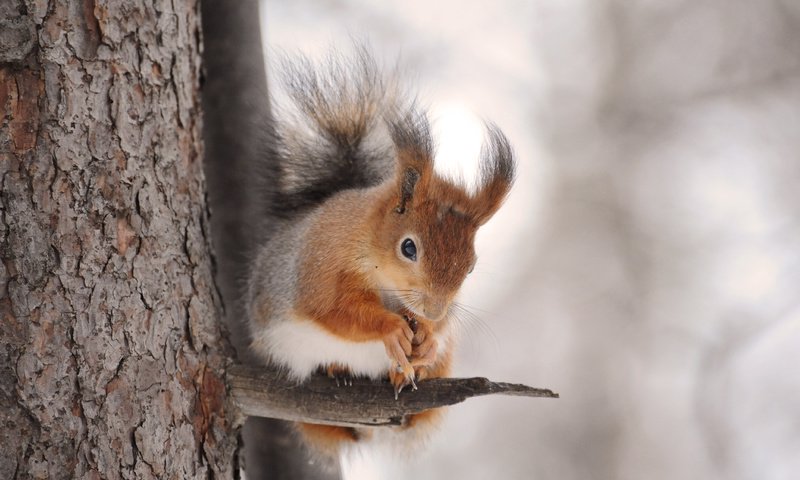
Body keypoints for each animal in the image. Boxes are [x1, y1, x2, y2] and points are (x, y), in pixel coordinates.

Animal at [247, 48, 516, 458]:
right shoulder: (320, 269)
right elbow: (337, 312)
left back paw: (406, 373)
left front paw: (429, 337)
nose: (433, 310)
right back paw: (338, 370)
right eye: (408, 247)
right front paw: (391, 327)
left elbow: (440, 329)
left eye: (471, 267)